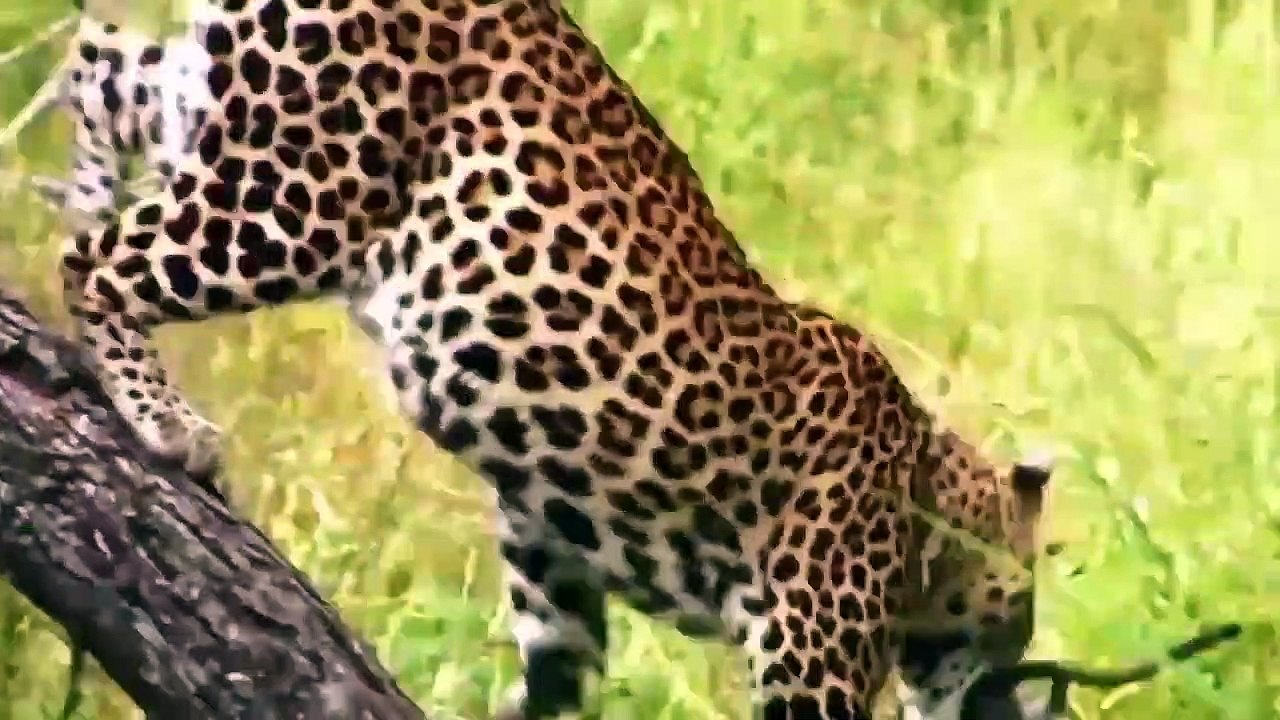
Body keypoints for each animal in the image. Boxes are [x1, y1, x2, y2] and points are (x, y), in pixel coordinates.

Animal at [54, 0, 1056, 718]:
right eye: (1017, 621)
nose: (1009, 696)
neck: (926, 494)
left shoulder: (555, 586)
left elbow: (552, 686)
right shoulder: (810, 659)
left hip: (222, 116)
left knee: (98, 69)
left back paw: (77, 185)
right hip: (300, 197)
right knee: (95, 261)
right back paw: (164, 418)